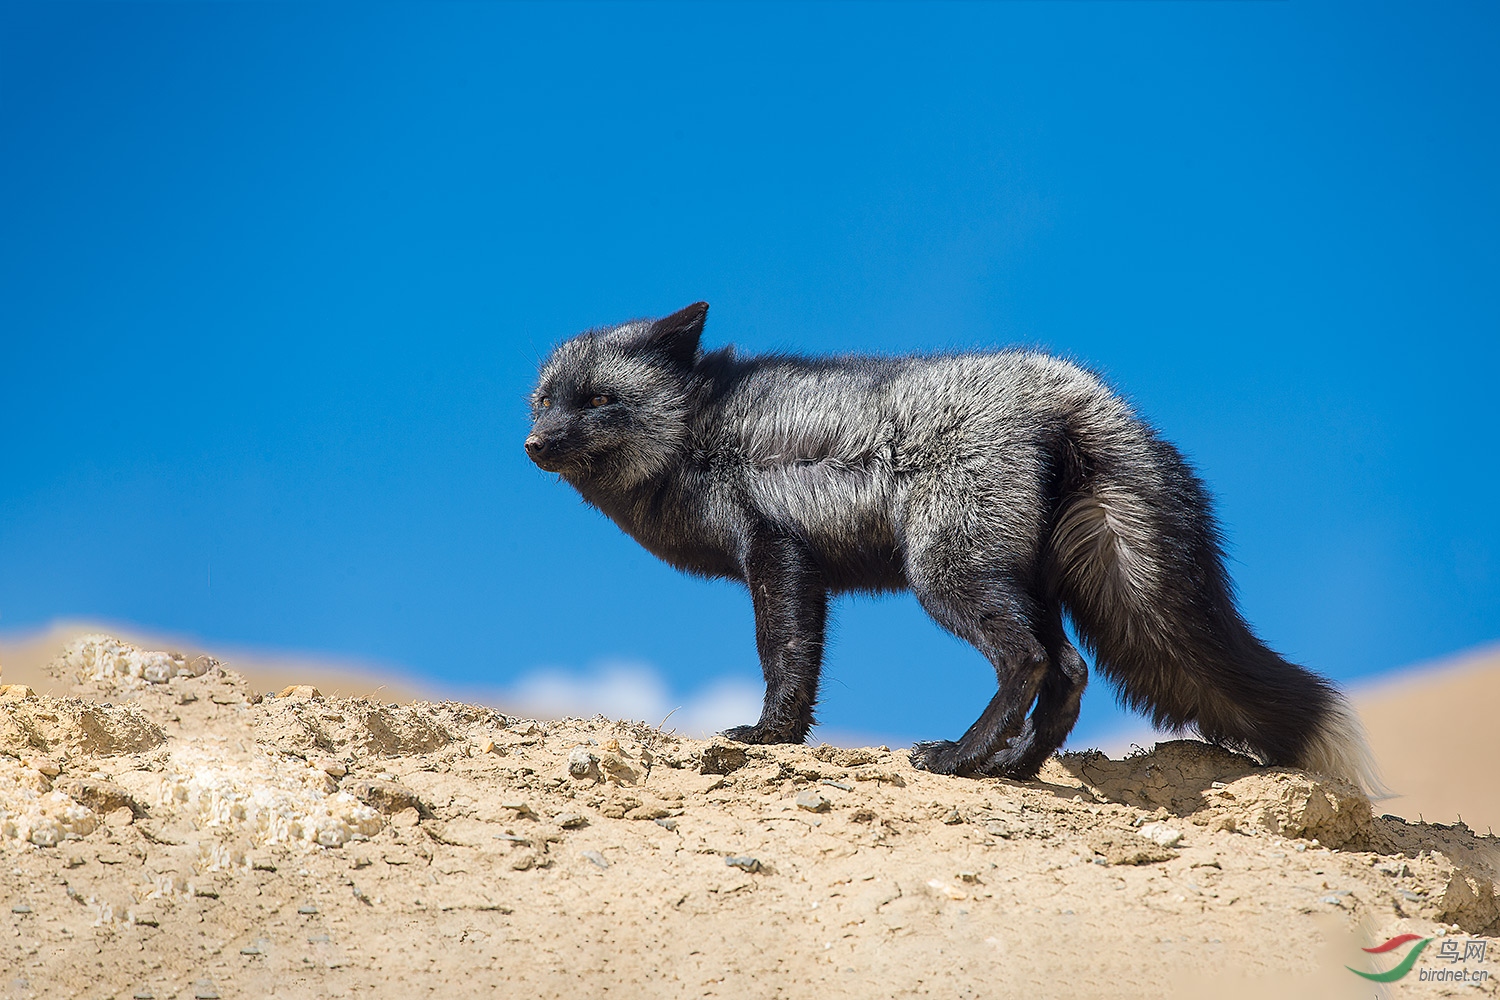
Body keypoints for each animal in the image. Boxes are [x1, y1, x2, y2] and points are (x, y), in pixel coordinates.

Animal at [525, 301, 1380, 791]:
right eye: (543, 401)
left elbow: (784, 659)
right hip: (1024, 582)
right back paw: (1015, 768)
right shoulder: (804, 569)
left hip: (947, 577)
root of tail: (1069, 384)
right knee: (1069, 672)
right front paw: (786, 739)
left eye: (597, 400)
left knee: (1029, 662)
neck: (698, 431)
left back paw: (962, 759)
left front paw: (769, 738)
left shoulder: (775, 552)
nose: (533, 444)